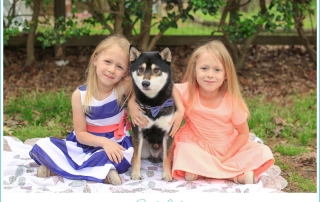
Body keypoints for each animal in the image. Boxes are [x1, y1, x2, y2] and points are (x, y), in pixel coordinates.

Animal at [129, 46, 176, 181]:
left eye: (156, 70)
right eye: (141, 69)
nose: (145, 83)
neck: (153, 104)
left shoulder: (168, 133)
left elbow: (166, 159)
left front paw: (167, 175)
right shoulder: (137, 131)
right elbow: (136, 156)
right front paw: (135, 174)